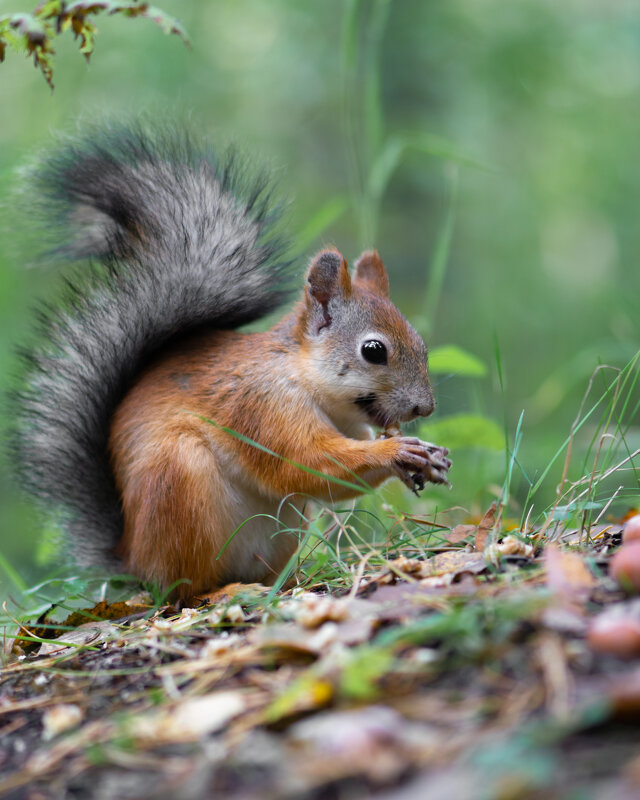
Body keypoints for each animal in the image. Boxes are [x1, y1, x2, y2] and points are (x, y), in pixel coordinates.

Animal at [10, 123, 450, 600]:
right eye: (373, 351)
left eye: (421, 343)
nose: (425, 408)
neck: (303, 377)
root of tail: (134, 562)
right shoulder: (263, 406)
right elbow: (307, 462)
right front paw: (397, 450)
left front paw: (425, 460)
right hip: (181, 482)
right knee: (185, 587)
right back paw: (224, 592)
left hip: (285, 525)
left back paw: (285, 581)